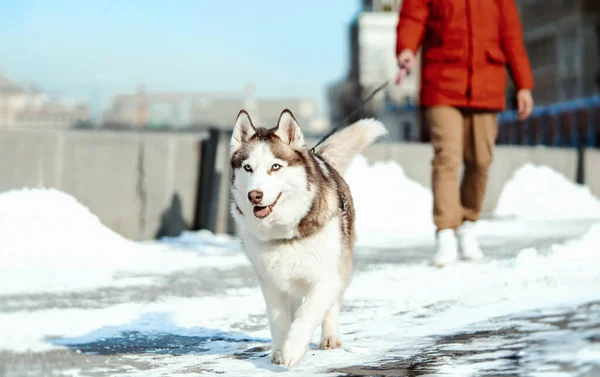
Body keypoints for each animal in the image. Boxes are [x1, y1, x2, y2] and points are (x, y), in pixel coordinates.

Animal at [227, 108, 386, 368]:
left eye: (275, 166)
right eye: (248, 168)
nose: (254, 195)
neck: (284, 233)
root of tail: (319, 155)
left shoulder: (326, 278)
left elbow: (307, 313)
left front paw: (292, 350)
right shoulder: (270, 282)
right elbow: (279, 319)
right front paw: (280, 350)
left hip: (341, 264)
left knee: (331, 306)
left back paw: (330, 338)